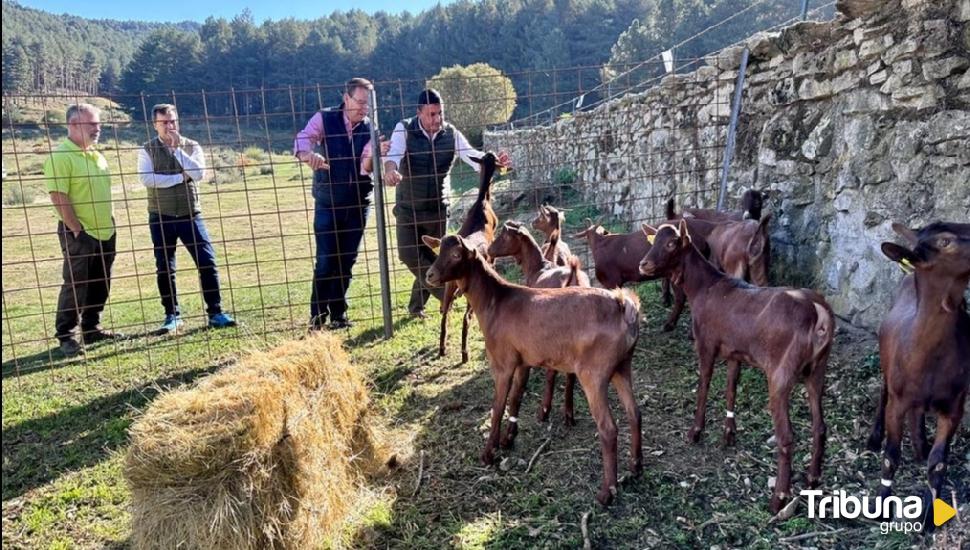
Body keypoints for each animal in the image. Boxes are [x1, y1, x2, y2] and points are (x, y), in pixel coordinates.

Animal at [438, 153, 500, 364]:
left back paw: (442, 348)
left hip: (449, 285)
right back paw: (464, 354)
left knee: (445, 311)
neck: (482, 202)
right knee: (465, 317)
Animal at [484, 221, 588, 432]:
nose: (489, 250)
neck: (537, 268)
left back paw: (544, 411)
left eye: (505, 235)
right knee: (570, 374)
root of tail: (573, 278)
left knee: (552, 373)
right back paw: (569, 414)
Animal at [636, 220, 832, 512]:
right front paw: (729, 434)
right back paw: (813, 478)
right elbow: (731, 384)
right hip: (817, 369)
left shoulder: (706, 342)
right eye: (653, 240)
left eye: (671, 243)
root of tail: (819, 312)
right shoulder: (735, 351)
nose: (644, 264)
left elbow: (704, 382)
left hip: (781, 372)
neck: (704, 288)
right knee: (820, 426)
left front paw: (695, 431)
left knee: (786, 437)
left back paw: (778, 499)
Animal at [864, 222, 964, 506]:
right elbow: (891, 457)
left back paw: (921, 445)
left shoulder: (955, 404)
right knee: (884, 390)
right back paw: (874, 438)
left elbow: (938, 464)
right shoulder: (898, 400)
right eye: (945, 241)